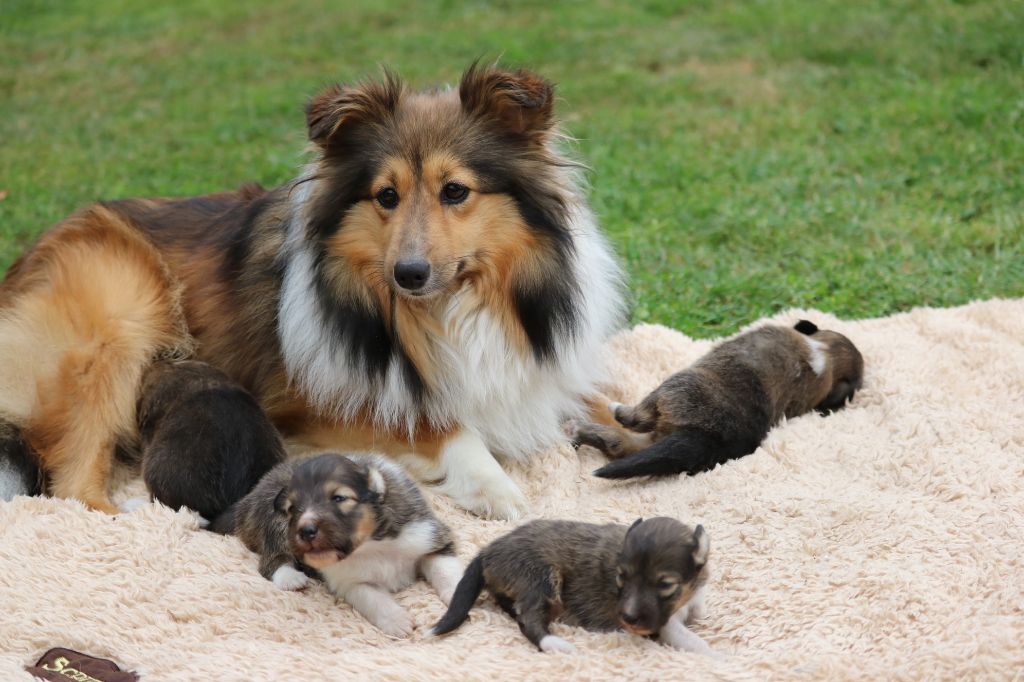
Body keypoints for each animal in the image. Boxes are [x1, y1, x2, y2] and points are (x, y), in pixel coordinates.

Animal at [211, 450, 460, 638]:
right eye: (293, 508)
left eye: (339, 498)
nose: (306, 531)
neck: (372, 546)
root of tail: (249, 498)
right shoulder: (349, 581)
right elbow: (373, 598)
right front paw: (398, 621)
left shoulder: (428, 536)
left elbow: (445, 570)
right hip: (274, 525)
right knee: (270, 561)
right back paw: (291, 578)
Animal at [430, 516, 712, 655]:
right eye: (621, 576)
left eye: (664, 584)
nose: (628, 619)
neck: (683, 598)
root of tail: (488, 551)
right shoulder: (665, 628)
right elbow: (696, 644)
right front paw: (718, 659)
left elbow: (699, 608)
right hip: (540, 577)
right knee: (529, 619)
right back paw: (556, 644)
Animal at [573, 319, 860, 475]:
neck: (828, 357)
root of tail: (709, 437)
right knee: (625, 446)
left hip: (674, 387)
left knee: (638, 419)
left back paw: (616, 410)